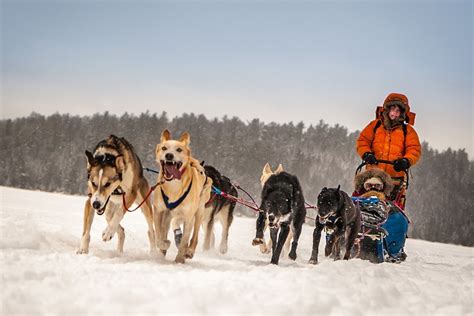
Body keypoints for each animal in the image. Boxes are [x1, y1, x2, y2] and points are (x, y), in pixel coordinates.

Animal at [153, 130, 212, 262]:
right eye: (164, 148)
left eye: (179, 149)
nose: (169, 155)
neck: (173, 187)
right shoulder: (159, 211)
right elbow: (159, 235)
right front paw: (163, 245)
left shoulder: (188, 216)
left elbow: (185, 239)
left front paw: (179, 259)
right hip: (168, 214)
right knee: (166, 227)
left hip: (199, 212)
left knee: (194, 236)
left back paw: (189, 251)